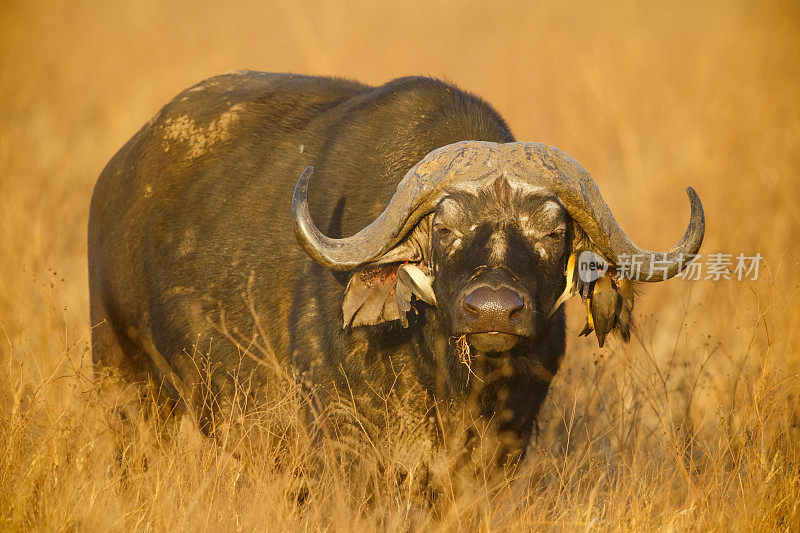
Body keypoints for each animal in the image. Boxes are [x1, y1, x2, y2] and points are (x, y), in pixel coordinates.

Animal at [86, 71, 700, 462]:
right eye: (444, 229)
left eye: (553, 232)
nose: (492, 310)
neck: (447, 376)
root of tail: (117, 174)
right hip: (123, 378)